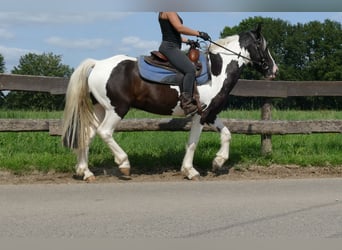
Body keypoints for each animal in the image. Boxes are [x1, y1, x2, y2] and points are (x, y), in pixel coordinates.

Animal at [60, 24, 278, 182]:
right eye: (264, 46)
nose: (274, 70)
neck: (216, 71)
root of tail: (97, 63)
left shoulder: (210, 113)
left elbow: (227, 134)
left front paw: (218, 161)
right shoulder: (200, 115)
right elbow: (192, 143)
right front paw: (190, 171)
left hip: (100, 108)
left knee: (87, 135)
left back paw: (85, 172)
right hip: (116, 109)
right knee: (104, 132)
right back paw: (124, 164)